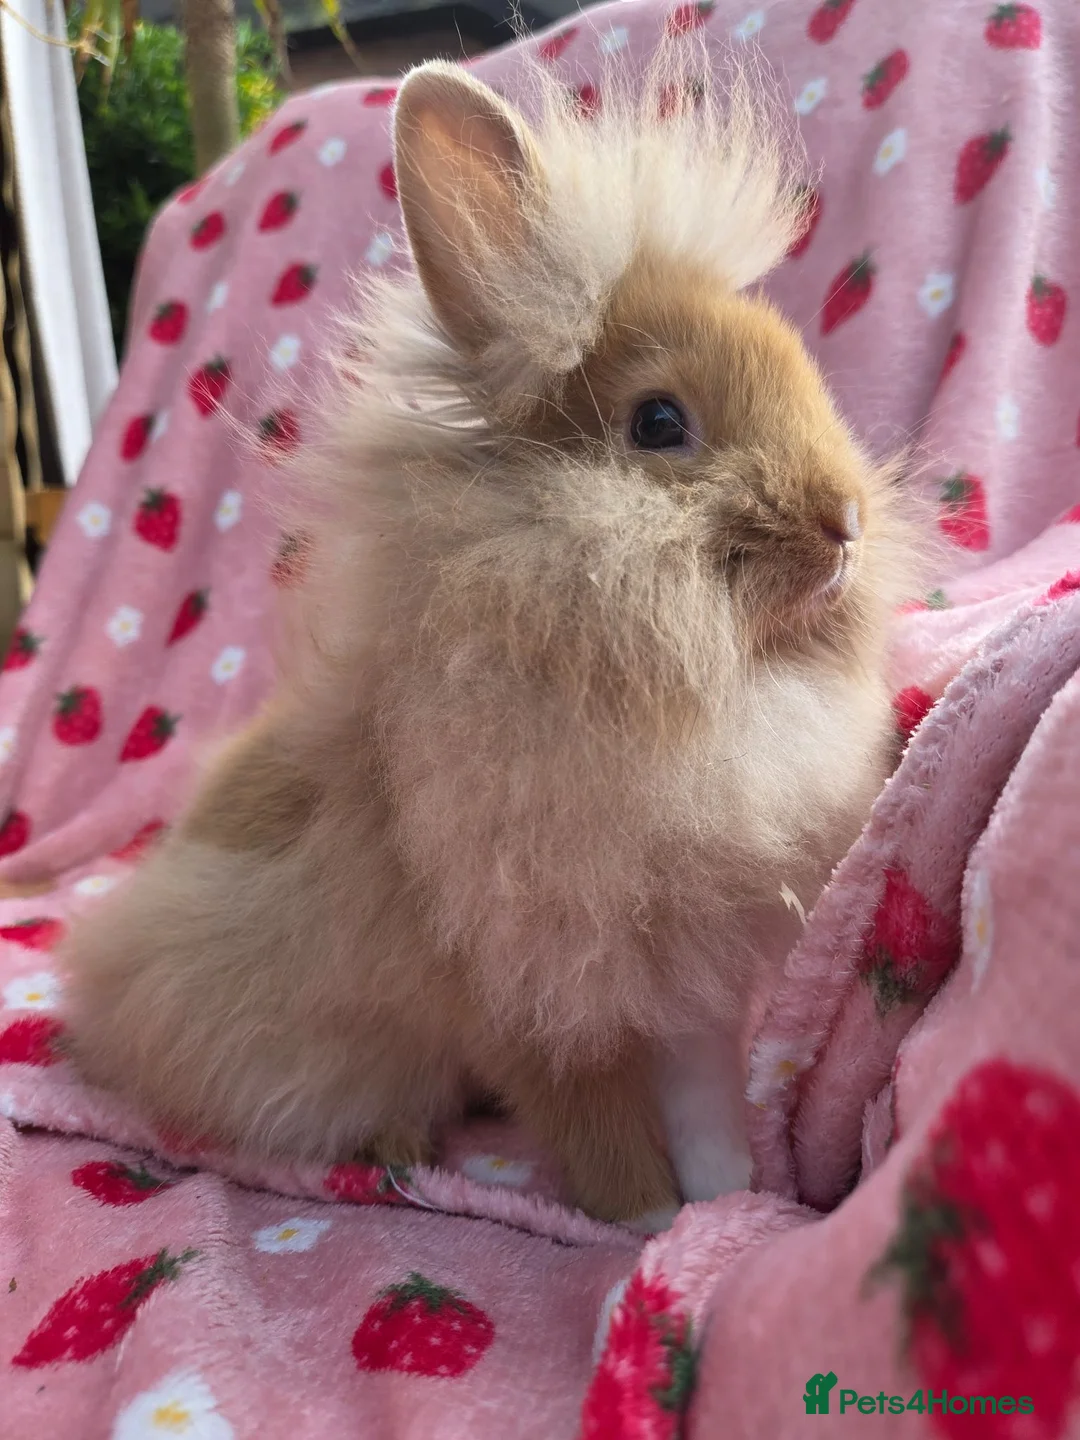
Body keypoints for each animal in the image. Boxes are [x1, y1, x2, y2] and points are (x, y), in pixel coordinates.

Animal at [61, 46, 920, 1226]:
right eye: (659, 423)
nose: (847, 525)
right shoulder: (525, 991)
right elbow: (597, 1126)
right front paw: (645, 1222)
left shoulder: (684, 984)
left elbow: (702, 1102)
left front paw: (727, 1194)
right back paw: (395, 1144)